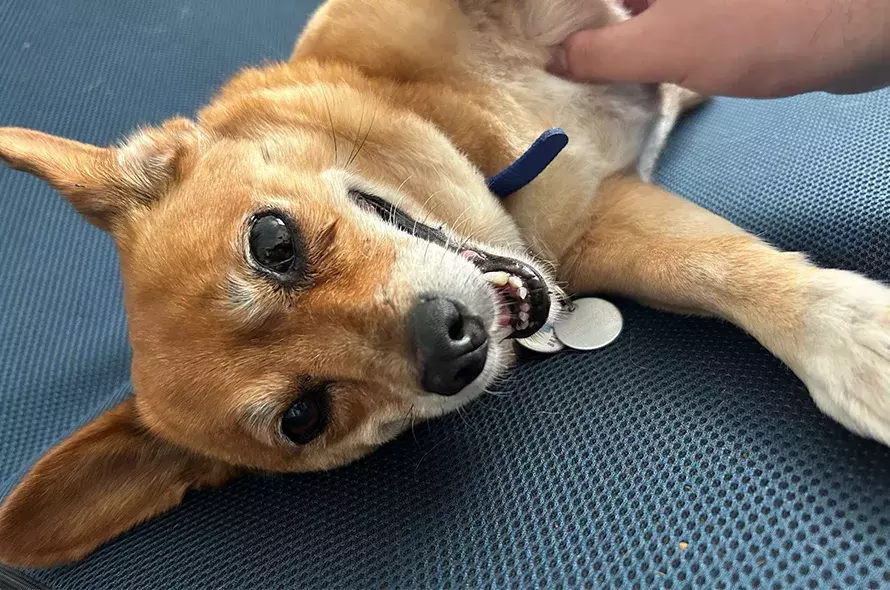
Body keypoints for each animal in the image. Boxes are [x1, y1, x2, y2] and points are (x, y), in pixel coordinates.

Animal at [1, 0, 888, 568]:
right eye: (302, 418)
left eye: (273, 242)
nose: (452, 346)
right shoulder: (606, 222)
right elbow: (714, 263)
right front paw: (851, 337)